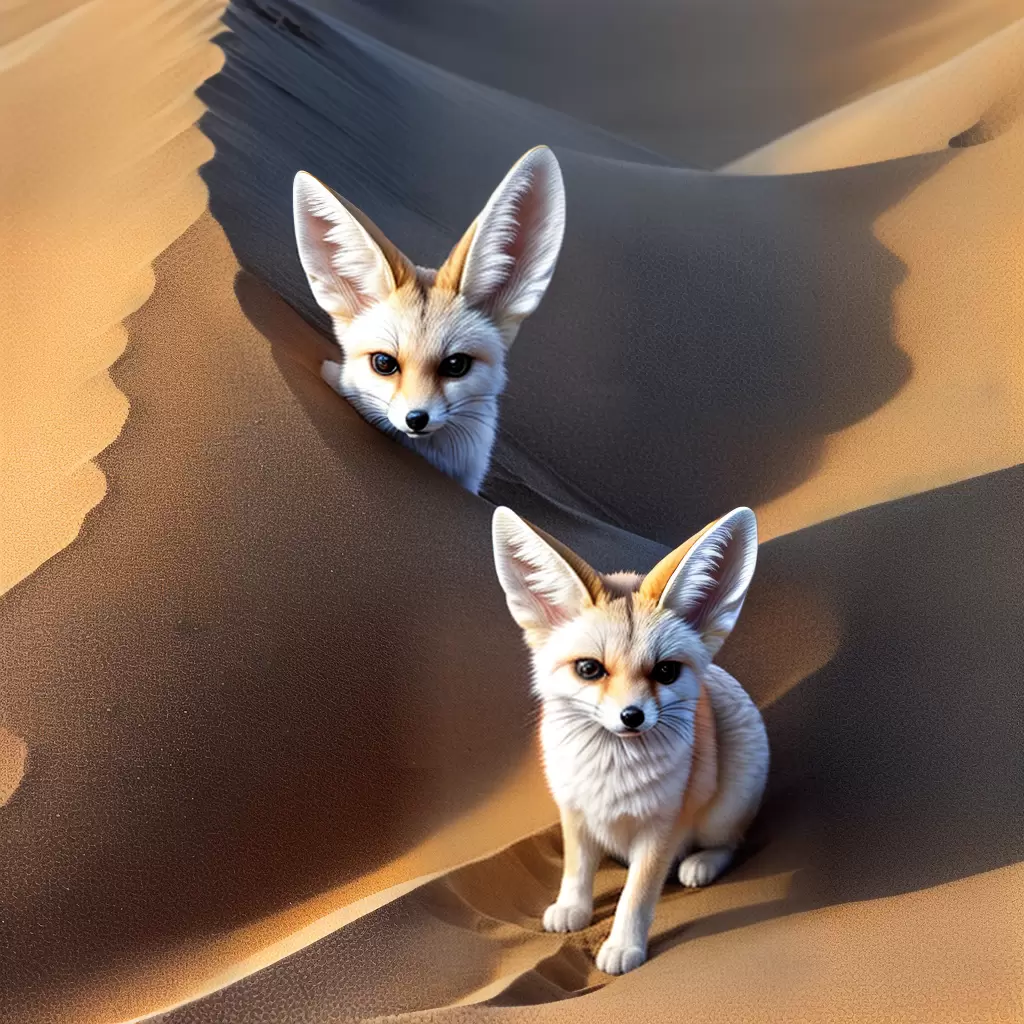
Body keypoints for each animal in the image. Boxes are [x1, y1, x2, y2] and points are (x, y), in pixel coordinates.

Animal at [491, 505, 769, 975]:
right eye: (589, 669)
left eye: (665, 672)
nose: (632, 716)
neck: (610, 773)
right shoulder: (574, 810)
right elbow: (576, 870)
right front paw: (573, 907)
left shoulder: (660, 830)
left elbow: (635, 898)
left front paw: (624, 945)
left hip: (725, 805)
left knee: (732, 842)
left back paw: (701, 863)